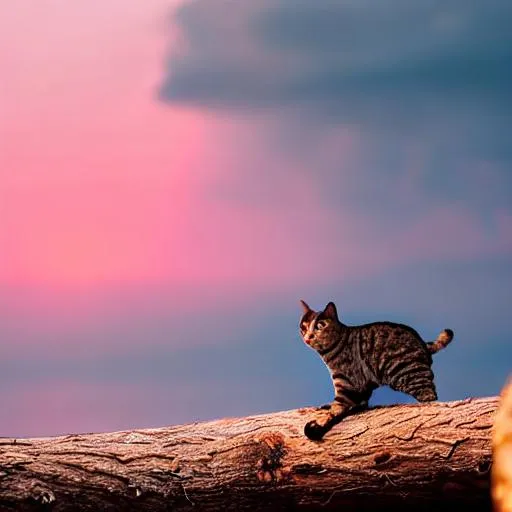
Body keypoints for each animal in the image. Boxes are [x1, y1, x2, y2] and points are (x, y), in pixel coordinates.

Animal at [298, 300, 454, 440]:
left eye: (320, 326)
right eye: (303, 327)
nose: (307, 337)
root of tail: (422, 342)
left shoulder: (346, 385)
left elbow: (335, 409)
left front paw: (318, 425)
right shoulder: (362, 386)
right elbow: (359, 402)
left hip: (409, 376)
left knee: (430, 396)